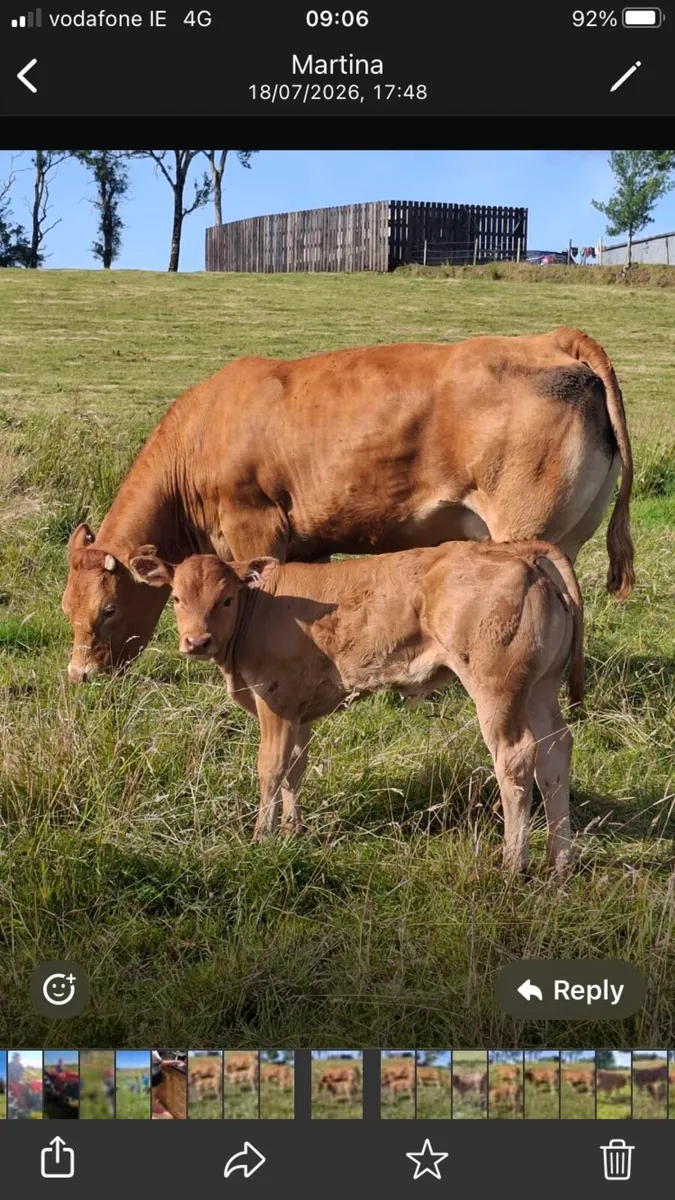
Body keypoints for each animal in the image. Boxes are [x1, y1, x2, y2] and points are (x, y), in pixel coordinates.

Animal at [62, 328, 633, 682]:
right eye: (67, 606)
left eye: (108, 608)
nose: (79, 675)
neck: (204, 431)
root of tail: (549, 340)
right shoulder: (307, 541)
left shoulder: (254, 527)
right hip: (567, 538)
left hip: (521, 529)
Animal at [130, 537, 583, 873]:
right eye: (175, 598)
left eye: (225, 599)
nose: (197, 641)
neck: (260, 610)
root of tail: (518, 552)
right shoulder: (300, 710)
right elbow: (295, 770)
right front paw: (292, 832)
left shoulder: (275, 704)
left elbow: (271, 770)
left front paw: (262, 837)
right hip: (540, 688)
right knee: (555, 754)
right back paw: (559, 863)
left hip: (496, 690)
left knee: (516, 758)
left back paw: (512, 865)